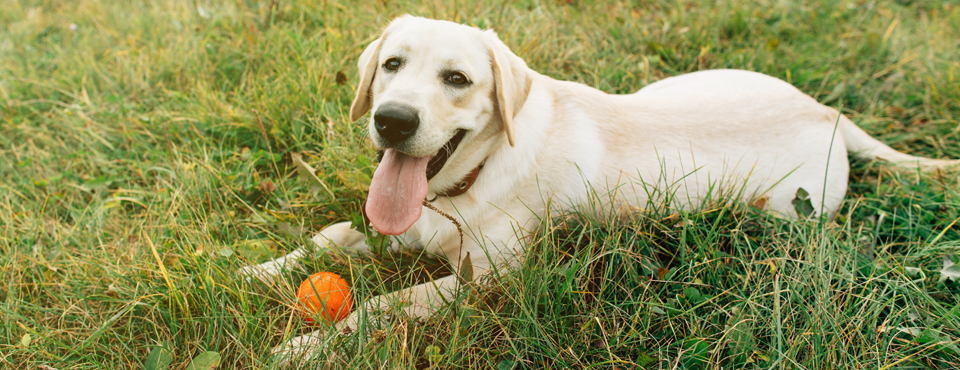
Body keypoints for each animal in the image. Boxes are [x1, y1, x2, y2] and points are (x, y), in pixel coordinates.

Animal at [242, 15, 960, 362]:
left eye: (457, 80)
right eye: (391, 65)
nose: (392, 120)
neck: (464, 182)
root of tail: (827, 113)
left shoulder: (487, 280)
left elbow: (386, 304)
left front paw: (308, 345)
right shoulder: (403, 225)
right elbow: (333, 234)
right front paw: (251, 268)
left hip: (784, 211)